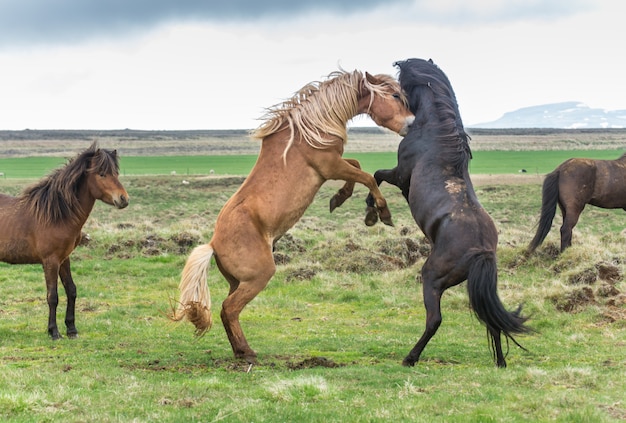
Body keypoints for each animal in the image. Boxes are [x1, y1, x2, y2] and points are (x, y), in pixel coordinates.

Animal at [0, 144, 128, 340]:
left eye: (116, 173)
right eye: (101, 174)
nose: (123, 199)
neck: (57, 214)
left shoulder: (64, 259)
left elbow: (71, 290)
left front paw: (71, 329)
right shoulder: (50, 261)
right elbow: (52, 296)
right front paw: (54, 331)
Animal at [172, 70, 414, 364]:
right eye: (394, 95)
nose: (412, 124)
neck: (311, 127)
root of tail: (213, 244)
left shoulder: (335, 165)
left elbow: (357, 168)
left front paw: (340, 199)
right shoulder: (329, 166)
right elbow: (366, 175)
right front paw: (381, 214)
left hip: (238, 281)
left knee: (228, 310)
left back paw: (240, 351)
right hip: (259, 276)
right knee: (229, 308)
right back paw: (248, 353)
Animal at [364, 58, 528, 368]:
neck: (434, 133)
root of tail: (481, 251)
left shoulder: (401, 175)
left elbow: (376, 174)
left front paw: (373, 212)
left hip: (432, 278)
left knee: (435, 320)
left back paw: (410, 358)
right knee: (491, 321)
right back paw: (500, 363)